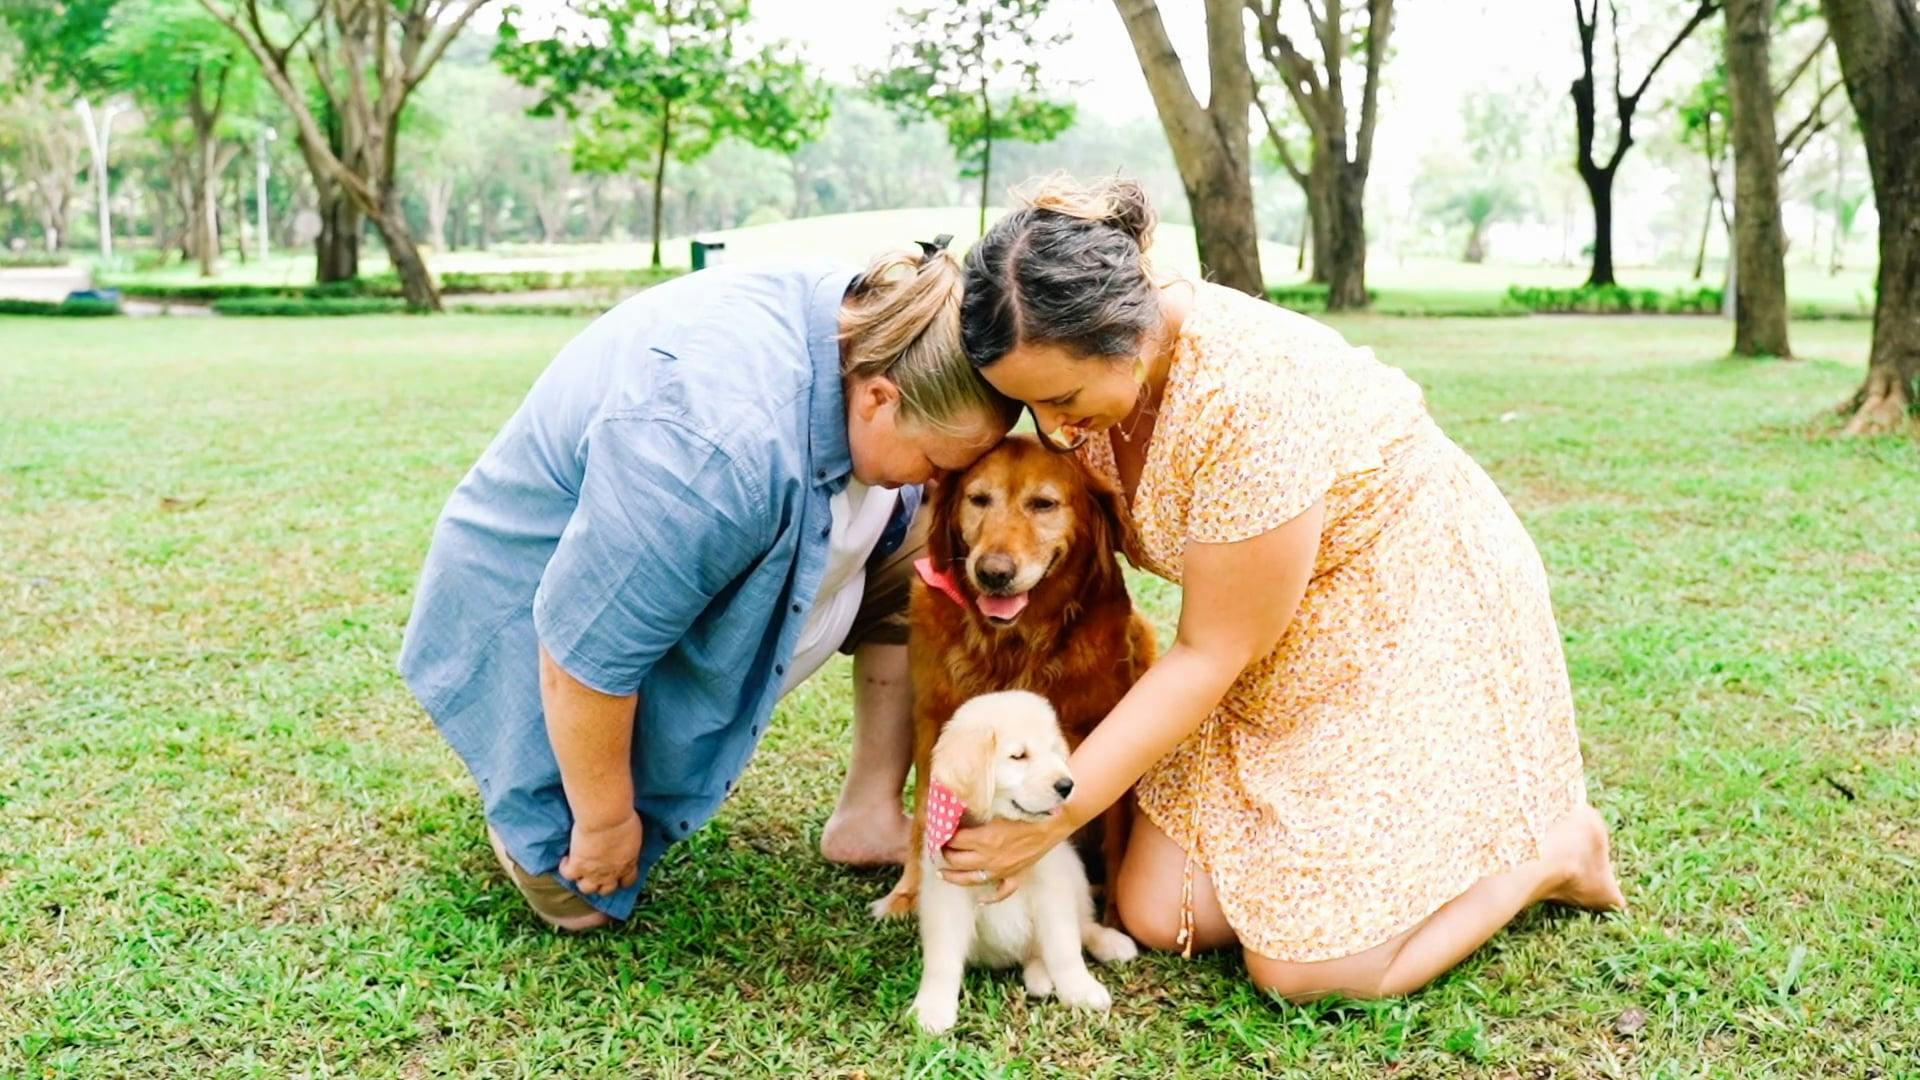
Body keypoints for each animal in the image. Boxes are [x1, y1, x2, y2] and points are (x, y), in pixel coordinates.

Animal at [906, 684, 1128, 1030]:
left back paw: (1109, 943)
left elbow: (1065, 946)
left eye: (1054, 751)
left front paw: (1080, 989)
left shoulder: (1052, 888)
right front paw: (932, 1008)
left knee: (1084, 926)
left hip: (1075, 874)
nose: (1067, 785)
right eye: (1019, 756)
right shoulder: (946, 896)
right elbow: (942, 960)